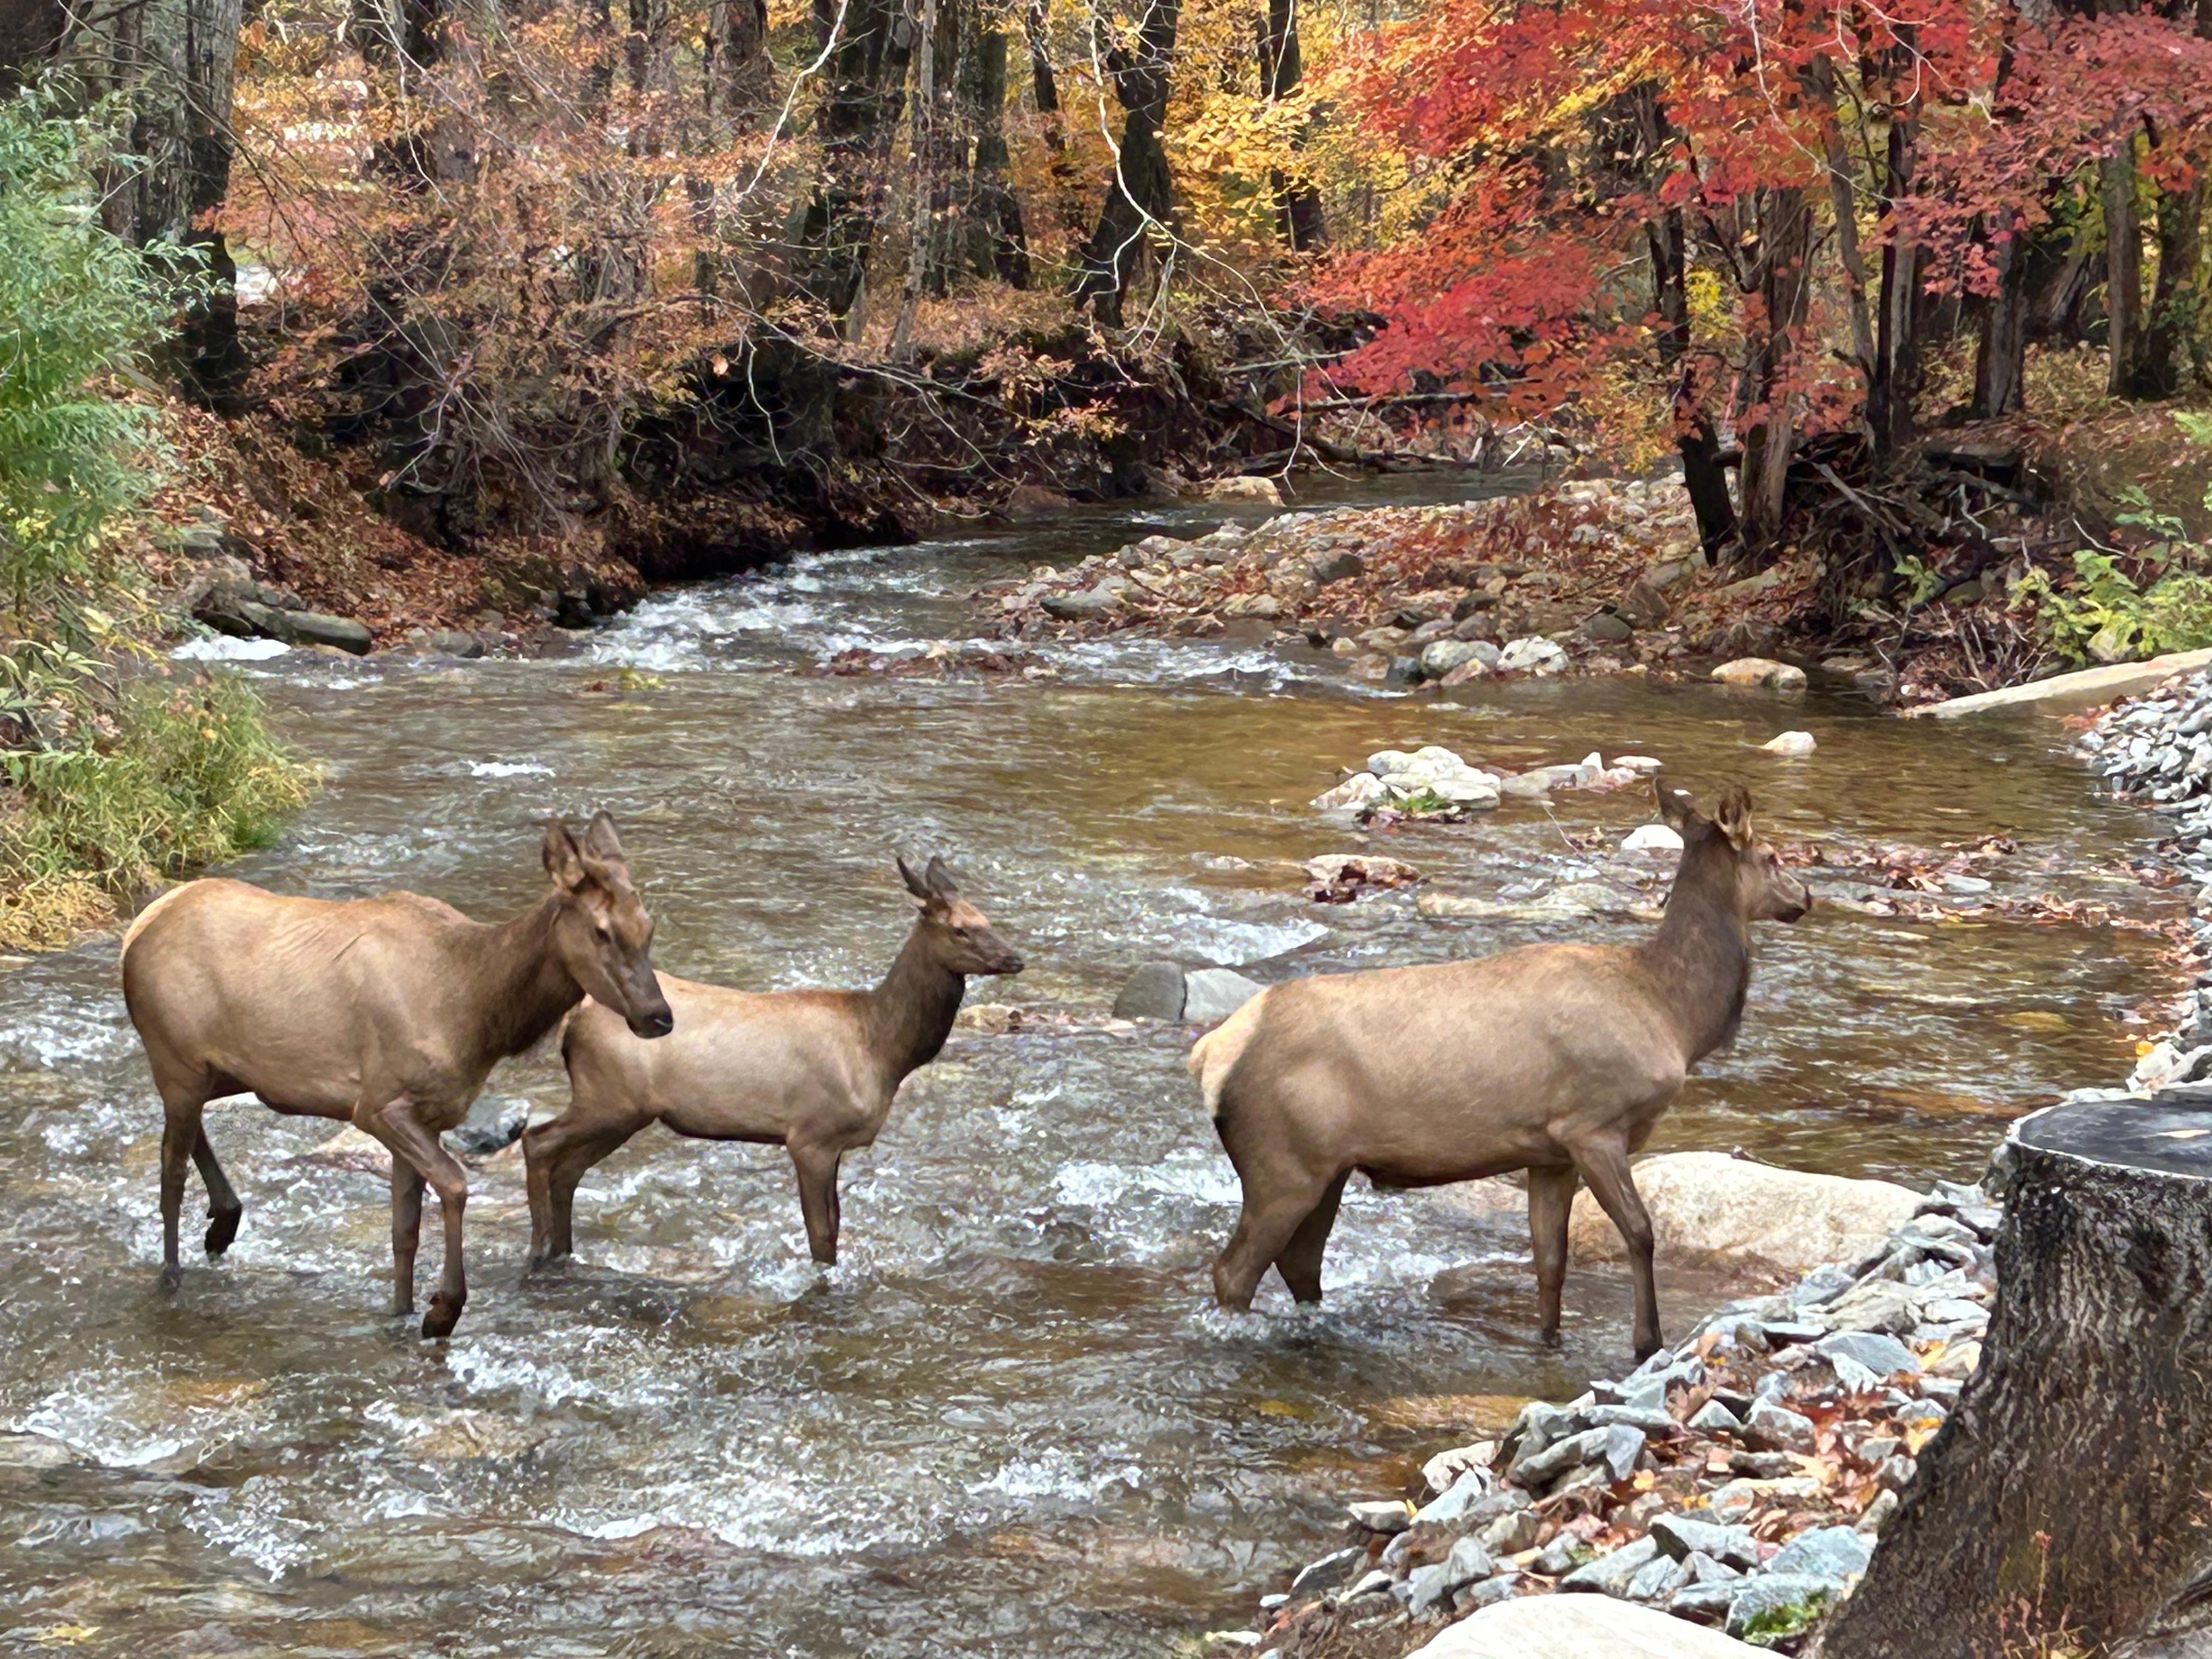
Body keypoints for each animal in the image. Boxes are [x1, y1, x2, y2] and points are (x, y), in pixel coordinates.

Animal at [118, 812, 673, 1339]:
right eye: (602, 930)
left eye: (648, 927)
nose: (659, 1016)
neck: (478, 1013)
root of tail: (135, 932)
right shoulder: (379, 1105)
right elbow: (455, 1185)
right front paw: (443, 1309)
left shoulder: (425, 1115)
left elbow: (404, 1229)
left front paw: (403, 1311)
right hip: (175, 1056)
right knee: (170, 1172)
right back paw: (172, 1272)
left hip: (223, 1071)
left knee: (189, 1132)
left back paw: (223, 1221)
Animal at [524, 854, 1023, 1273]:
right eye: (959, 929)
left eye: (986, 919)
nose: (1015, 958)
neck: (882, 1050)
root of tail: (575, 1019)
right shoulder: (811, 1136)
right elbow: (821, 1233)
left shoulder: (832, 1143)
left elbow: (834, 1226)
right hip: (610, 1097)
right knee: (538, 1141)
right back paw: (538, 1251)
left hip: (623, 1111)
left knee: (567, 1170)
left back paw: (563, 1251)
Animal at [1188, 781, 1810, 1361]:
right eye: (1772, 855)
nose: (1806, 896)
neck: (1673, 1016)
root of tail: (1212, 1053)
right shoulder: (1593, 1126)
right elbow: (1640, 1232)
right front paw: (1646, 1343)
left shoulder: (1549, 1152)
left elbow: (1550, 1259)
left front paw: (1550, 1338)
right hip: (1282, 1162)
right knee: (1235, 1271)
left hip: (1326, 1167)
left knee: (1301, 1262)